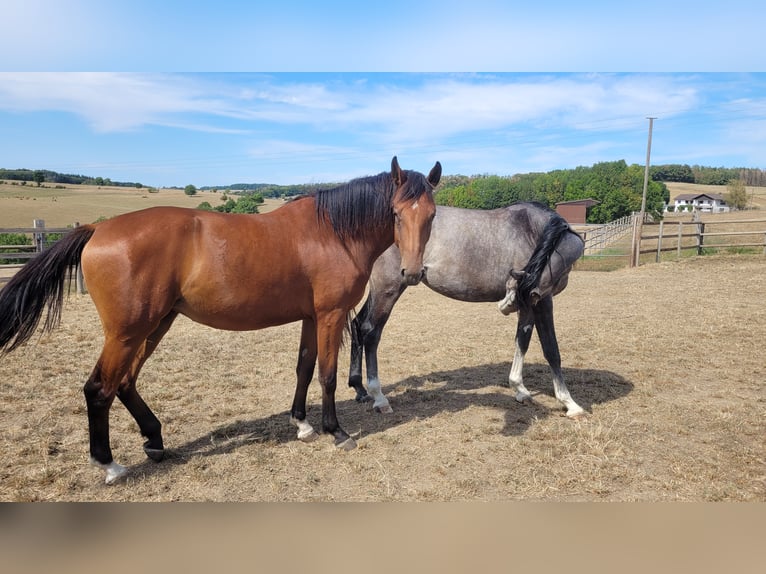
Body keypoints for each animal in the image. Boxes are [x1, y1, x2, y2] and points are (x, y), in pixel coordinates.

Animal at [0, 155, 440, 484]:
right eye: (396, 213)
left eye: (433, 215)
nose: (411, 272)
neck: (333, 233)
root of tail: (98, 229)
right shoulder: (330, 315)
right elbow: (327, 375)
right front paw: (336, 431)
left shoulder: (311, 317)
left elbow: (304, 366)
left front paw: (301, 424)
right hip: (127, 332)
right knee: (99, 389)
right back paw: (109, 464)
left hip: (155, 324)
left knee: (124, 382)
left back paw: (155, 440)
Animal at [350, 202, 588, 418]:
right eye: (537, 265)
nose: (508, 303)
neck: (530, 229)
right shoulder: (541, 301)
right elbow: (551, 349)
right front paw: (570, 404)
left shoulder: (528, 304)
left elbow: (522, 342)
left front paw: (520, 389)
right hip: (388, 289)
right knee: (371, 332)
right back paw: (379, 398)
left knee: (358, 325)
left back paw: (360, 390)